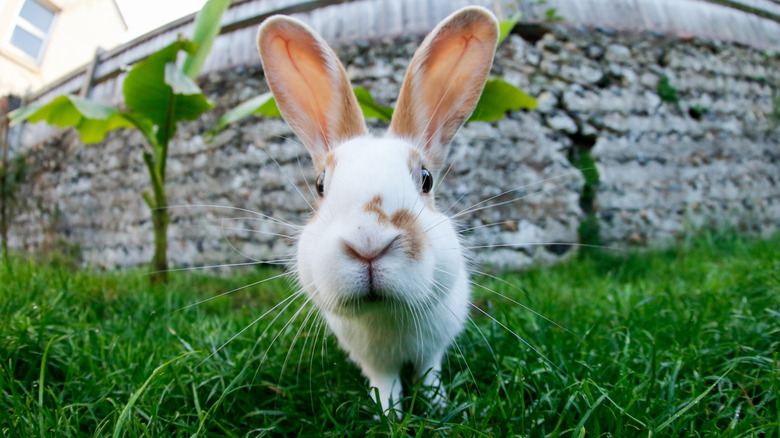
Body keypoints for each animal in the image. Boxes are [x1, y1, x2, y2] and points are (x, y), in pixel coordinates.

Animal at [256, 5, 500, 412]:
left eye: (426, 179)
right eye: (320, 185)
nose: (368, 244)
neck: (385, 315)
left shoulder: (432, 349)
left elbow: (429, 373)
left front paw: (439, 405)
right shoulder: (374, 361)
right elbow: (385, 384)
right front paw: (388, 413)